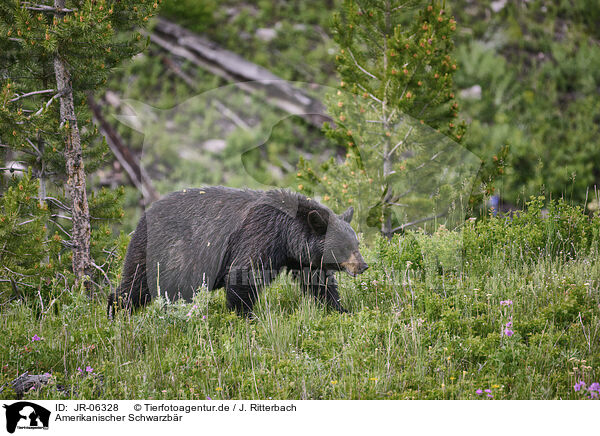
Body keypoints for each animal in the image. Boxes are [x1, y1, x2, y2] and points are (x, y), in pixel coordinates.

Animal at [109, 187, 368, 316]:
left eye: (356, 244)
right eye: (346, 247)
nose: (363, 266)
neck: (285, 235)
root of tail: (143, 216)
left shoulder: (302, 258)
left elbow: (318, 283)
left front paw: (340, 309)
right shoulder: (259, 233)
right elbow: (244, 274)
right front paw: (246, 315)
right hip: (160, 251)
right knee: (136, 285)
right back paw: (117, 311)